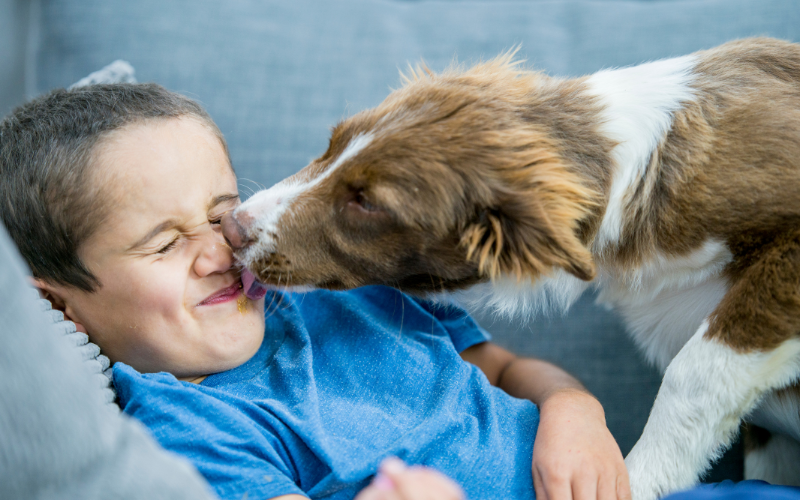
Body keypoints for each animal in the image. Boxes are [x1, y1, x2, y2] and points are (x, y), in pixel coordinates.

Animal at [222, 37, 800, 498]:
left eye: (367, 203)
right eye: (332, 143)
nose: (231, 225)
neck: (628, 181)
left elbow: (695, 369)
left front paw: (637, 478)